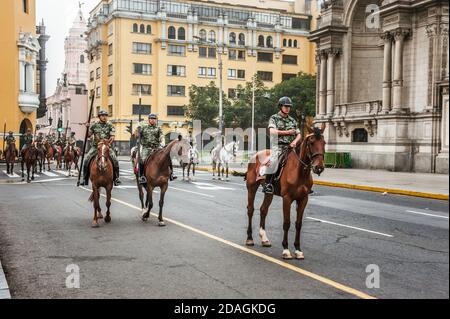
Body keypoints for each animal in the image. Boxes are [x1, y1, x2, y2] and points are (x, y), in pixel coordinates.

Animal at [246, 124, 326, 262]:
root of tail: (255, 154)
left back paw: (264, 239)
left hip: (269, 193)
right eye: (311, 142)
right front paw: (286, 250)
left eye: (324, 142)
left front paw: (298, 250)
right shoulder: (287, 199)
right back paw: (250, 238)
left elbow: (298, 224)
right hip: (251, 188)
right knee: (250, 209)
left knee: (263, 210)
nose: (319, 167)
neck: (300, 171)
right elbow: (286, 223)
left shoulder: (303, 199)